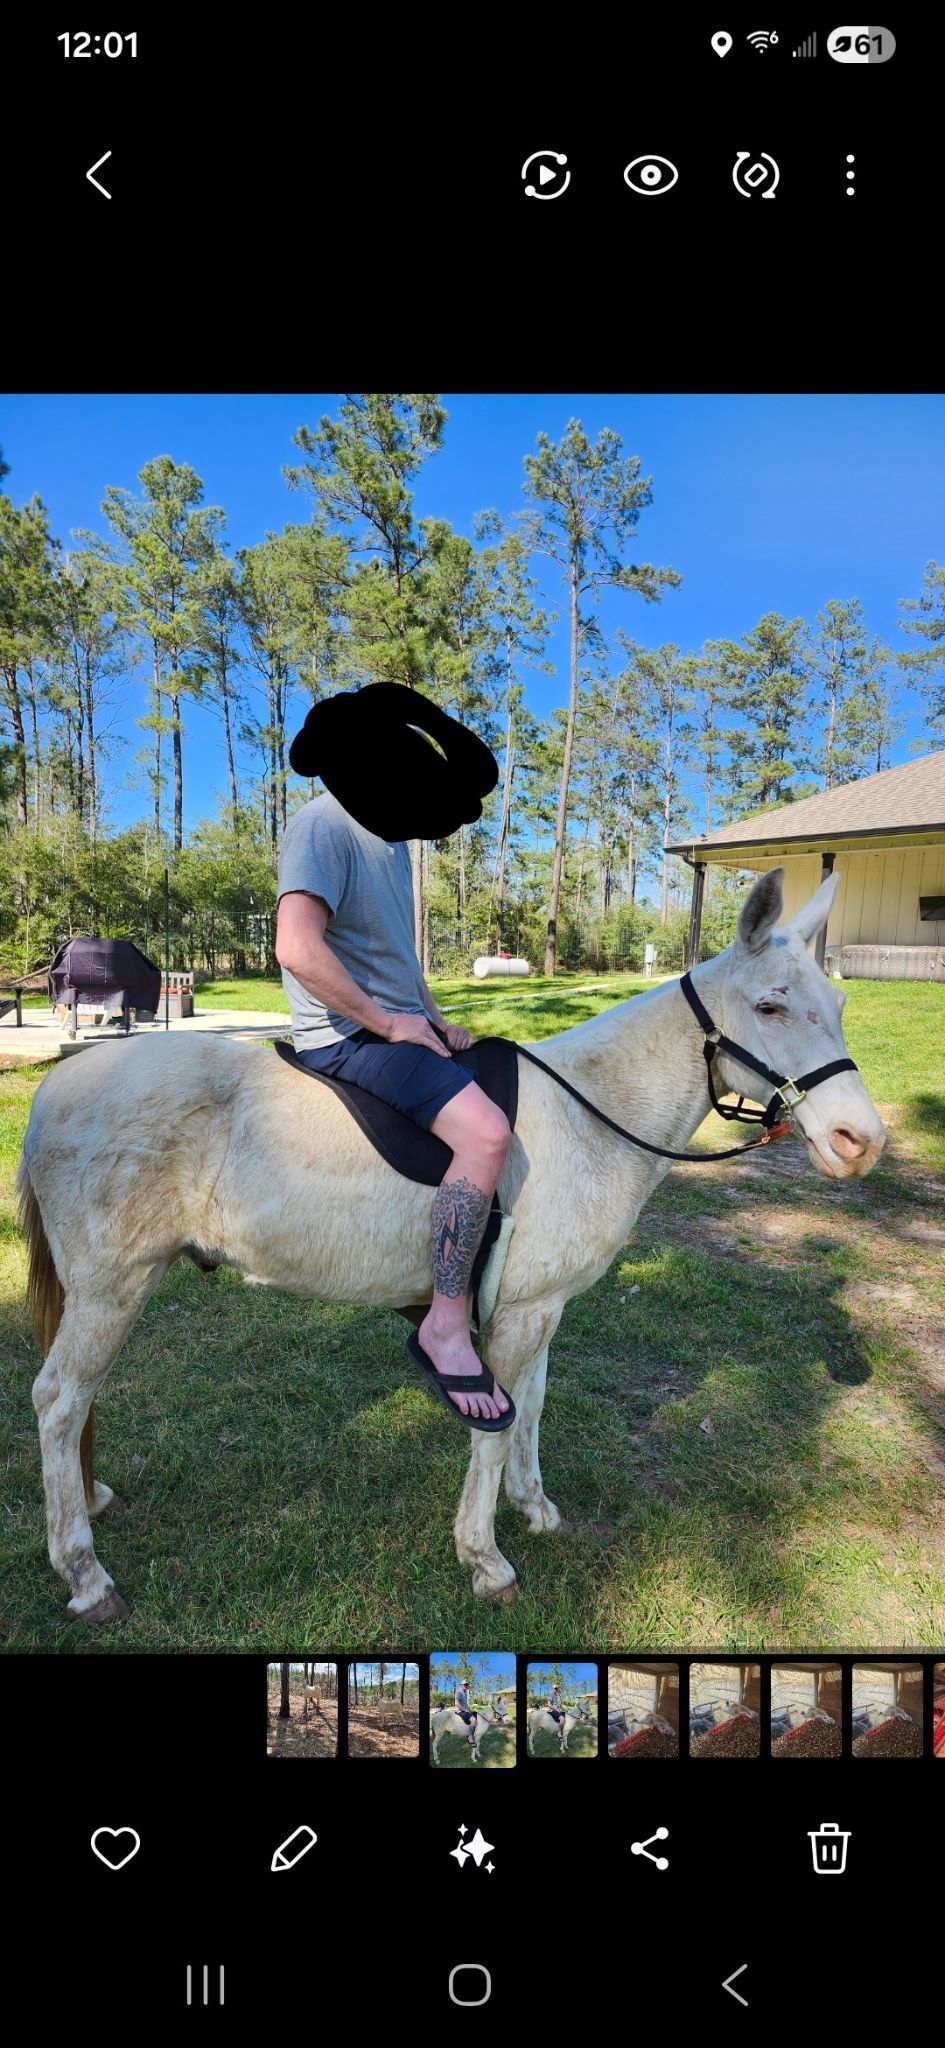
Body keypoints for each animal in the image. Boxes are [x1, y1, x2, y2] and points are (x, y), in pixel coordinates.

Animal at [16, 866, 886, 1623]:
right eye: (769, 1007)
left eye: (840, 1001)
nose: (860, 1141)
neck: (590, 1114)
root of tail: (58, 1085)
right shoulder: (518, 1316)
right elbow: (495, 1427)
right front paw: (485, 1557)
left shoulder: (542, 1307)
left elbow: (531, 1408)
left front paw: (535, 1508)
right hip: (113, 1288)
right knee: (58, 1401)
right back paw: (85, 1574)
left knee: (78, 1401)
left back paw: (89, 1503)